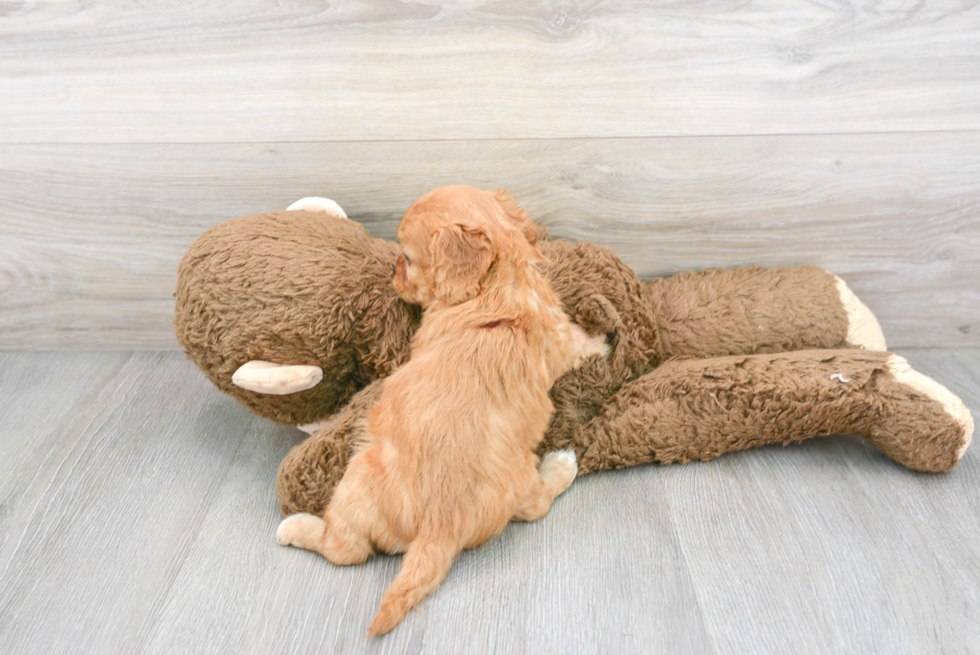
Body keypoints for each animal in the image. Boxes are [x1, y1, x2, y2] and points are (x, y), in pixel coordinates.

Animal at [276, 186, 608, 636]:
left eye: (408, 257)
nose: (392, 270)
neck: (497, 288)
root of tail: (440, 526)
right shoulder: (559, 334)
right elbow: (582, 344)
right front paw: (605, 343)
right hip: (514, 477)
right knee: (535, 504)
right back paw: (562, 466)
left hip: (355, 480)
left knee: (346, 550)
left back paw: (295, 528)